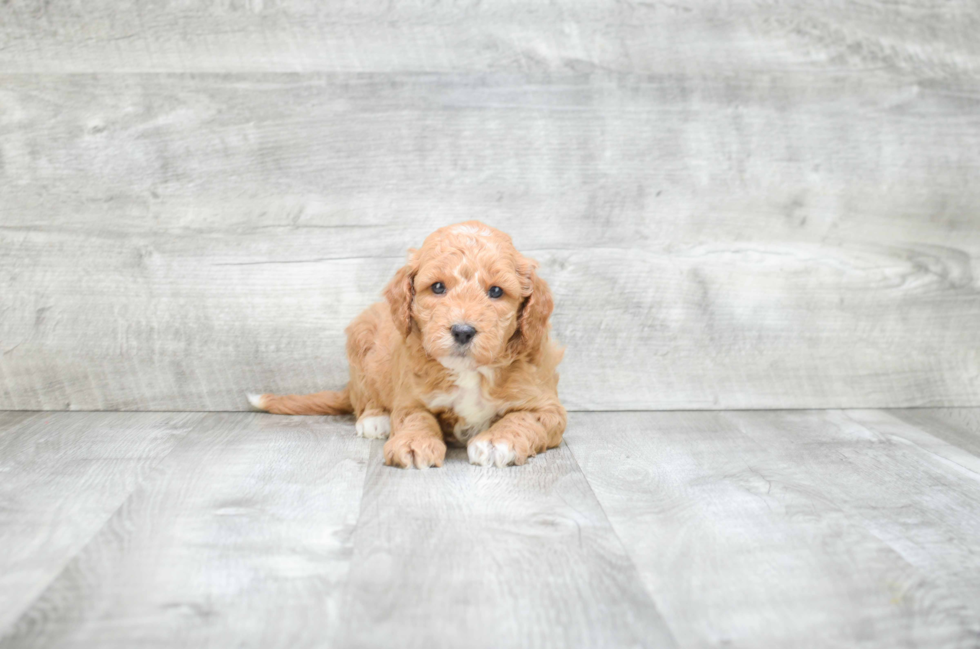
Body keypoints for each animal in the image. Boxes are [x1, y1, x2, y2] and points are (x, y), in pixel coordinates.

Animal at [247, 220, 568, 468]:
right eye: (437, 287)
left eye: (496, 292)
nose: (463, 331)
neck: (468, 372)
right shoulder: (410, 397)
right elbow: (415, 419)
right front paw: (413, 443)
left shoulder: (547, 406)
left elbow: (523, 420)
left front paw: (496, 442)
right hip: (361, 341)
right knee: (365, 397)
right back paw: (375, 419)